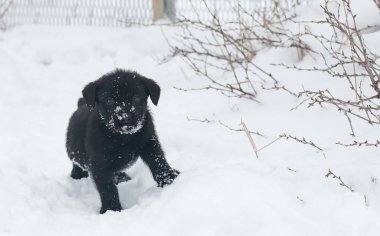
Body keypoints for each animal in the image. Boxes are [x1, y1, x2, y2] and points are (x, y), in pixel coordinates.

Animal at [65, 68, 180, 214]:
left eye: (136, 98)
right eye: (109, 100)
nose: (125, 117)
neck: (123, 137)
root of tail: (81, 104)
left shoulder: (149, 142)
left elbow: (158, 161)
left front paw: (169, 178)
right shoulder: (99, 165)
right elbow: (108, 188)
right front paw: (111, 209)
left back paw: (122, 177)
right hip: (75, 152)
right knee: (77, 164)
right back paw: (77, 175)